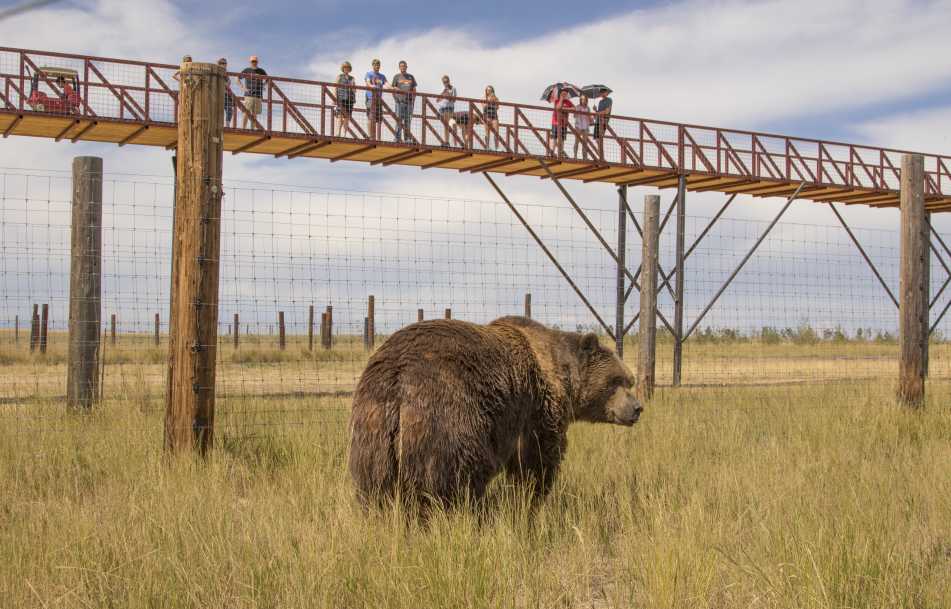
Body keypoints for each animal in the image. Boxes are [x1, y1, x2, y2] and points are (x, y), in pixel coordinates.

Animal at [347, 315, 643, 510]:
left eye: (629, 380)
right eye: (616, 380)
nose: (637, 408)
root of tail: (399, 380)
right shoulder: (537, 407)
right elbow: (536, 460)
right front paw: (531, 498)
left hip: (372, 430)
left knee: (375, 485)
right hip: (448, 416)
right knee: (458, 476)